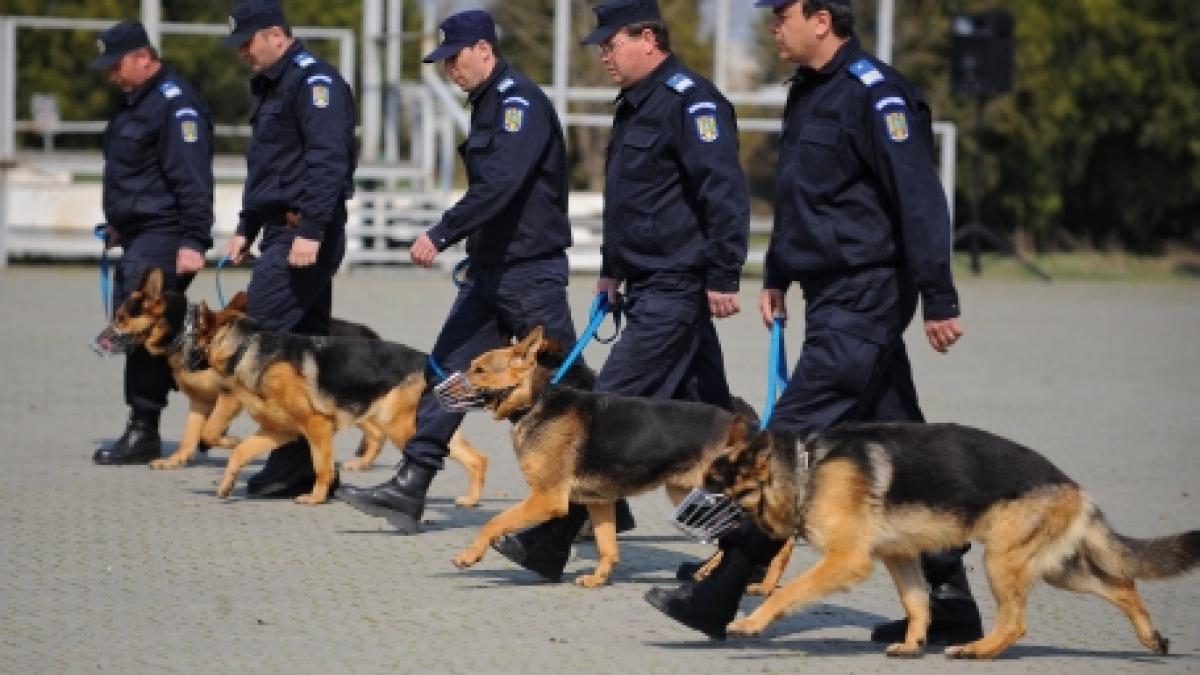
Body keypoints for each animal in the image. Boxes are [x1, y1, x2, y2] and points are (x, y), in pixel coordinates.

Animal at [94, 265, 384, 470]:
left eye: (120, 317)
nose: (100, 339)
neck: (185, 333)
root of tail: (369, 334)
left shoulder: (229, 397)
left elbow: (209, 432)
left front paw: (229, 442)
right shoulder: (199, 402)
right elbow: (190, 435)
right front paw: (177, 459)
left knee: (376, 432)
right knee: (376, 432)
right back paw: (362, 461)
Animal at [184, 296, 484, 502]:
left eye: (191, 336)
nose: (181, 362)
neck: (246, 347)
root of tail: (431, 364)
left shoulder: (317, 426)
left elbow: (321, 467)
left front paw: (316, 498)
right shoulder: (278, 431)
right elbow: (240, 451)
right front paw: (227, 481)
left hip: (398, 426)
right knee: (477, 458)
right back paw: (471, 501)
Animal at [446, 324, 753, 583]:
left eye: (479, 370)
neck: (537, 401)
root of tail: (743, 426)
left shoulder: (548, 498)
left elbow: (494, 521)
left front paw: (469, 555)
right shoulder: (598, 501)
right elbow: (608, 547)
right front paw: (598, 579)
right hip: (688, 496)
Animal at [700, 422, 1200, 653]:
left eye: (715, 486)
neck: (807, 471)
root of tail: (1073, 484)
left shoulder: (845, 560)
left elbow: (789, 593)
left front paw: (751, 623)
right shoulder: (899, 558)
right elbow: (917, 602)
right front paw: (913, 644)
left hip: (1003, 561)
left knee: (1016, 622)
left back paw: (976, 651)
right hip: (1058, 569)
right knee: (1124, 584)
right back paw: (1152, 639)